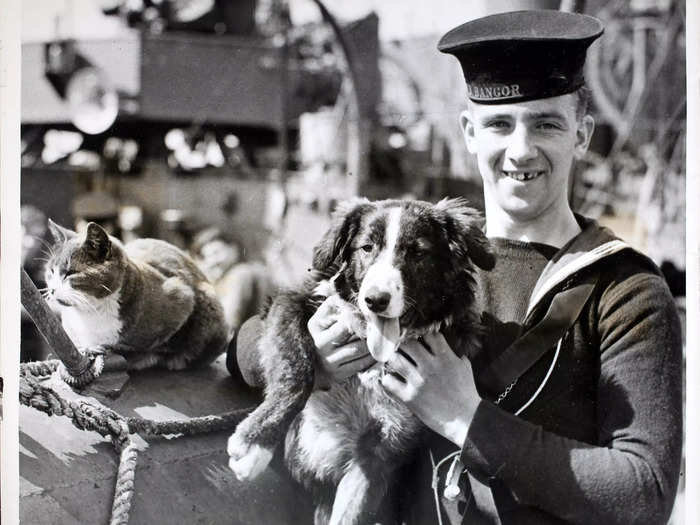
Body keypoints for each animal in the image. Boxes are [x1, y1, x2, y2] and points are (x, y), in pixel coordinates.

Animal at [43, 219, 228, 370]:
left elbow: (150, 346)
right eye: (51, 271)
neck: (89, 314)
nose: (52, 290)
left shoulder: (181, 297)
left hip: (208, 301)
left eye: (70, 273)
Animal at [227, 198, 490, 524]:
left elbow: (351, 512)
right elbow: (297, 371)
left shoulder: (382, 447)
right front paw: (255, 443)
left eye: (418, 252)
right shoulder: (290, 303)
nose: (375, 300)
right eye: (367, 248)